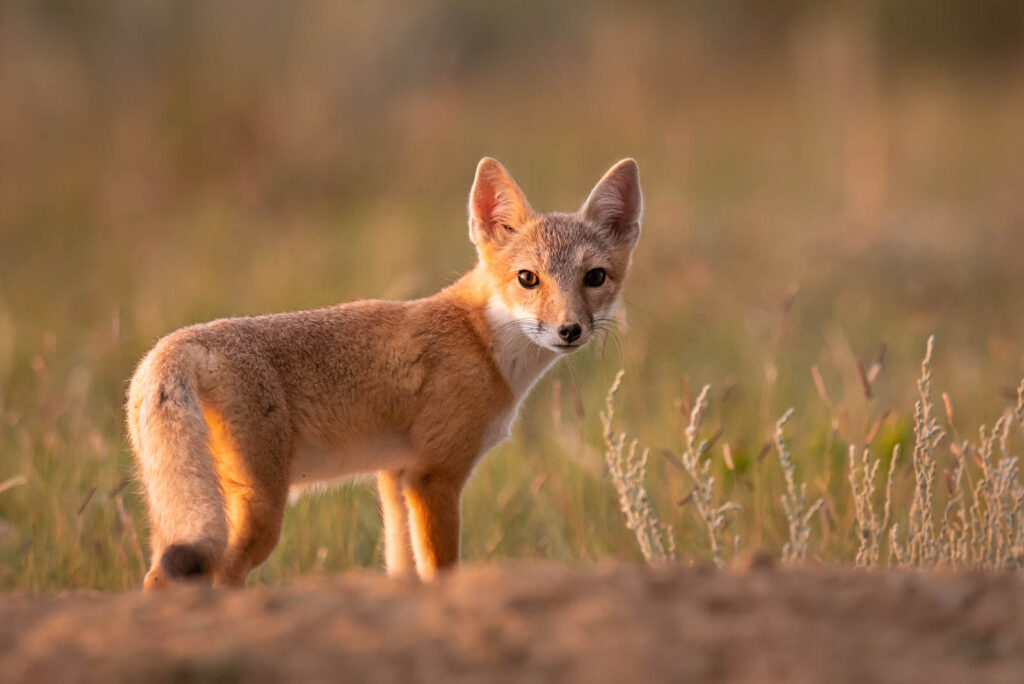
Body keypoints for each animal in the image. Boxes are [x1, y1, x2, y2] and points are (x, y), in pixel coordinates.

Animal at [128, 158, 638, 589]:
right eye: (528, 279)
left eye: (595, 277)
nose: (569, 330)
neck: (480, 341)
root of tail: (178, 341)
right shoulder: (435, 477)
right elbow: (440, 572)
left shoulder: (395, 478)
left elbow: (401, 571)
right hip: (260, 515)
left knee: (156, 575)